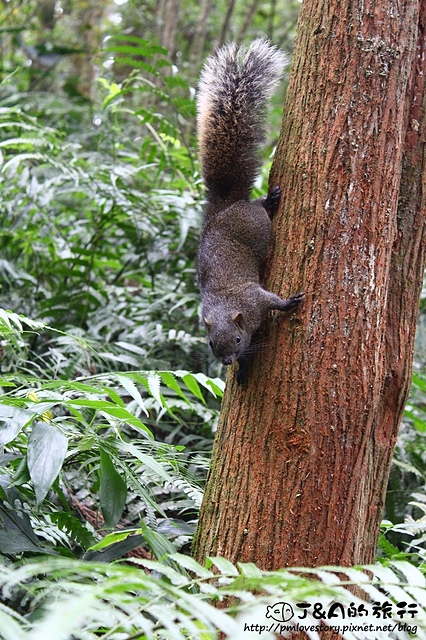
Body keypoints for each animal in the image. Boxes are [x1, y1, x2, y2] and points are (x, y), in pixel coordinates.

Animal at [196, 40, 302, 382]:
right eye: (212, 343)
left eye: (238, 338)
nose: (227, 361)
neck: (224, 305)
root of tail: (225, 207)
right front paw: (242, 371)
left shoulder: (254, 298)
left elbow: (273, 301)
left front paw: (289, 302)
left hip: (255, 224)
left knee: (258, 209)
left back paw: (269, 201)